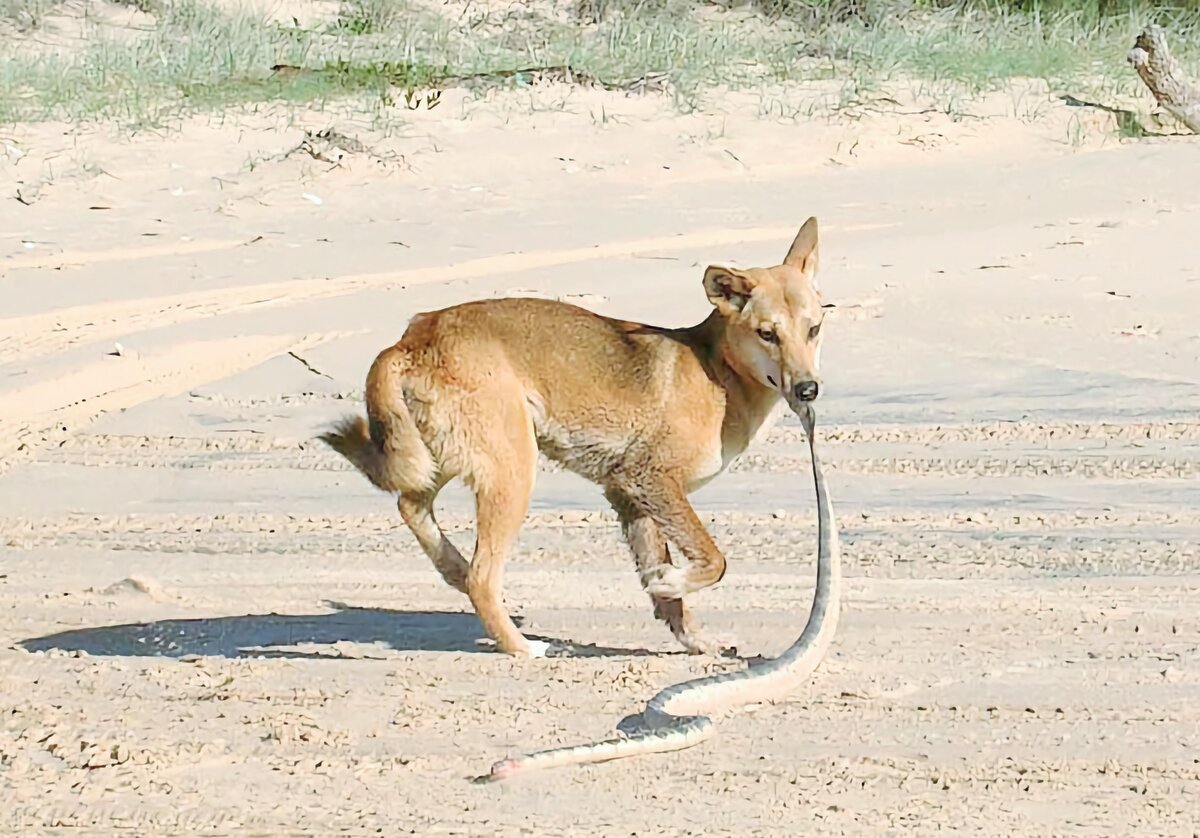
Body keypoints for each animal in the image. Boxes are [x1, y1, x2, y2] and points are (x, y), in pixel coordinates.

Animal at [321, 218, 825, 657]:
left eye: (814, 329)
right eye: (766, 334)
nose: (808, 389)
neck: (718, 374)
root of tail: (412, 337)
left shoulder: (627, 492)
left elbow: (670, 596)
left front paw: (693, 634)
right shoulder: (651, 478)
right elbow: (714, 560)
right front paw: (670, 581)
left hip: (449, 454)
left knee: (412, 506)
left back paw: (453, 567)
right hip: (512, 470)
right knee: (483, 577)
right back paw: (521, 647)